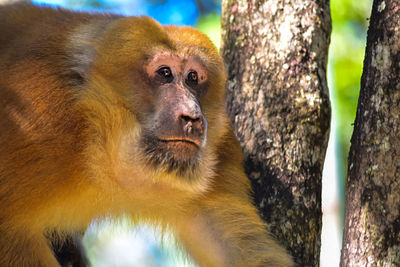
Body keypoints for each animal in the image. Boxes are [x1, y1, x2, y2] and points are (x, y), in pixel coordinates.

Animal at [0, 2, 292, 267]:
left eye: (193, 77)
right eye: (165, 73)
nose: (192, 116)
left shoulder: (218, 152)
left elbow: (244, 254)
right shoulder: (42, 122)